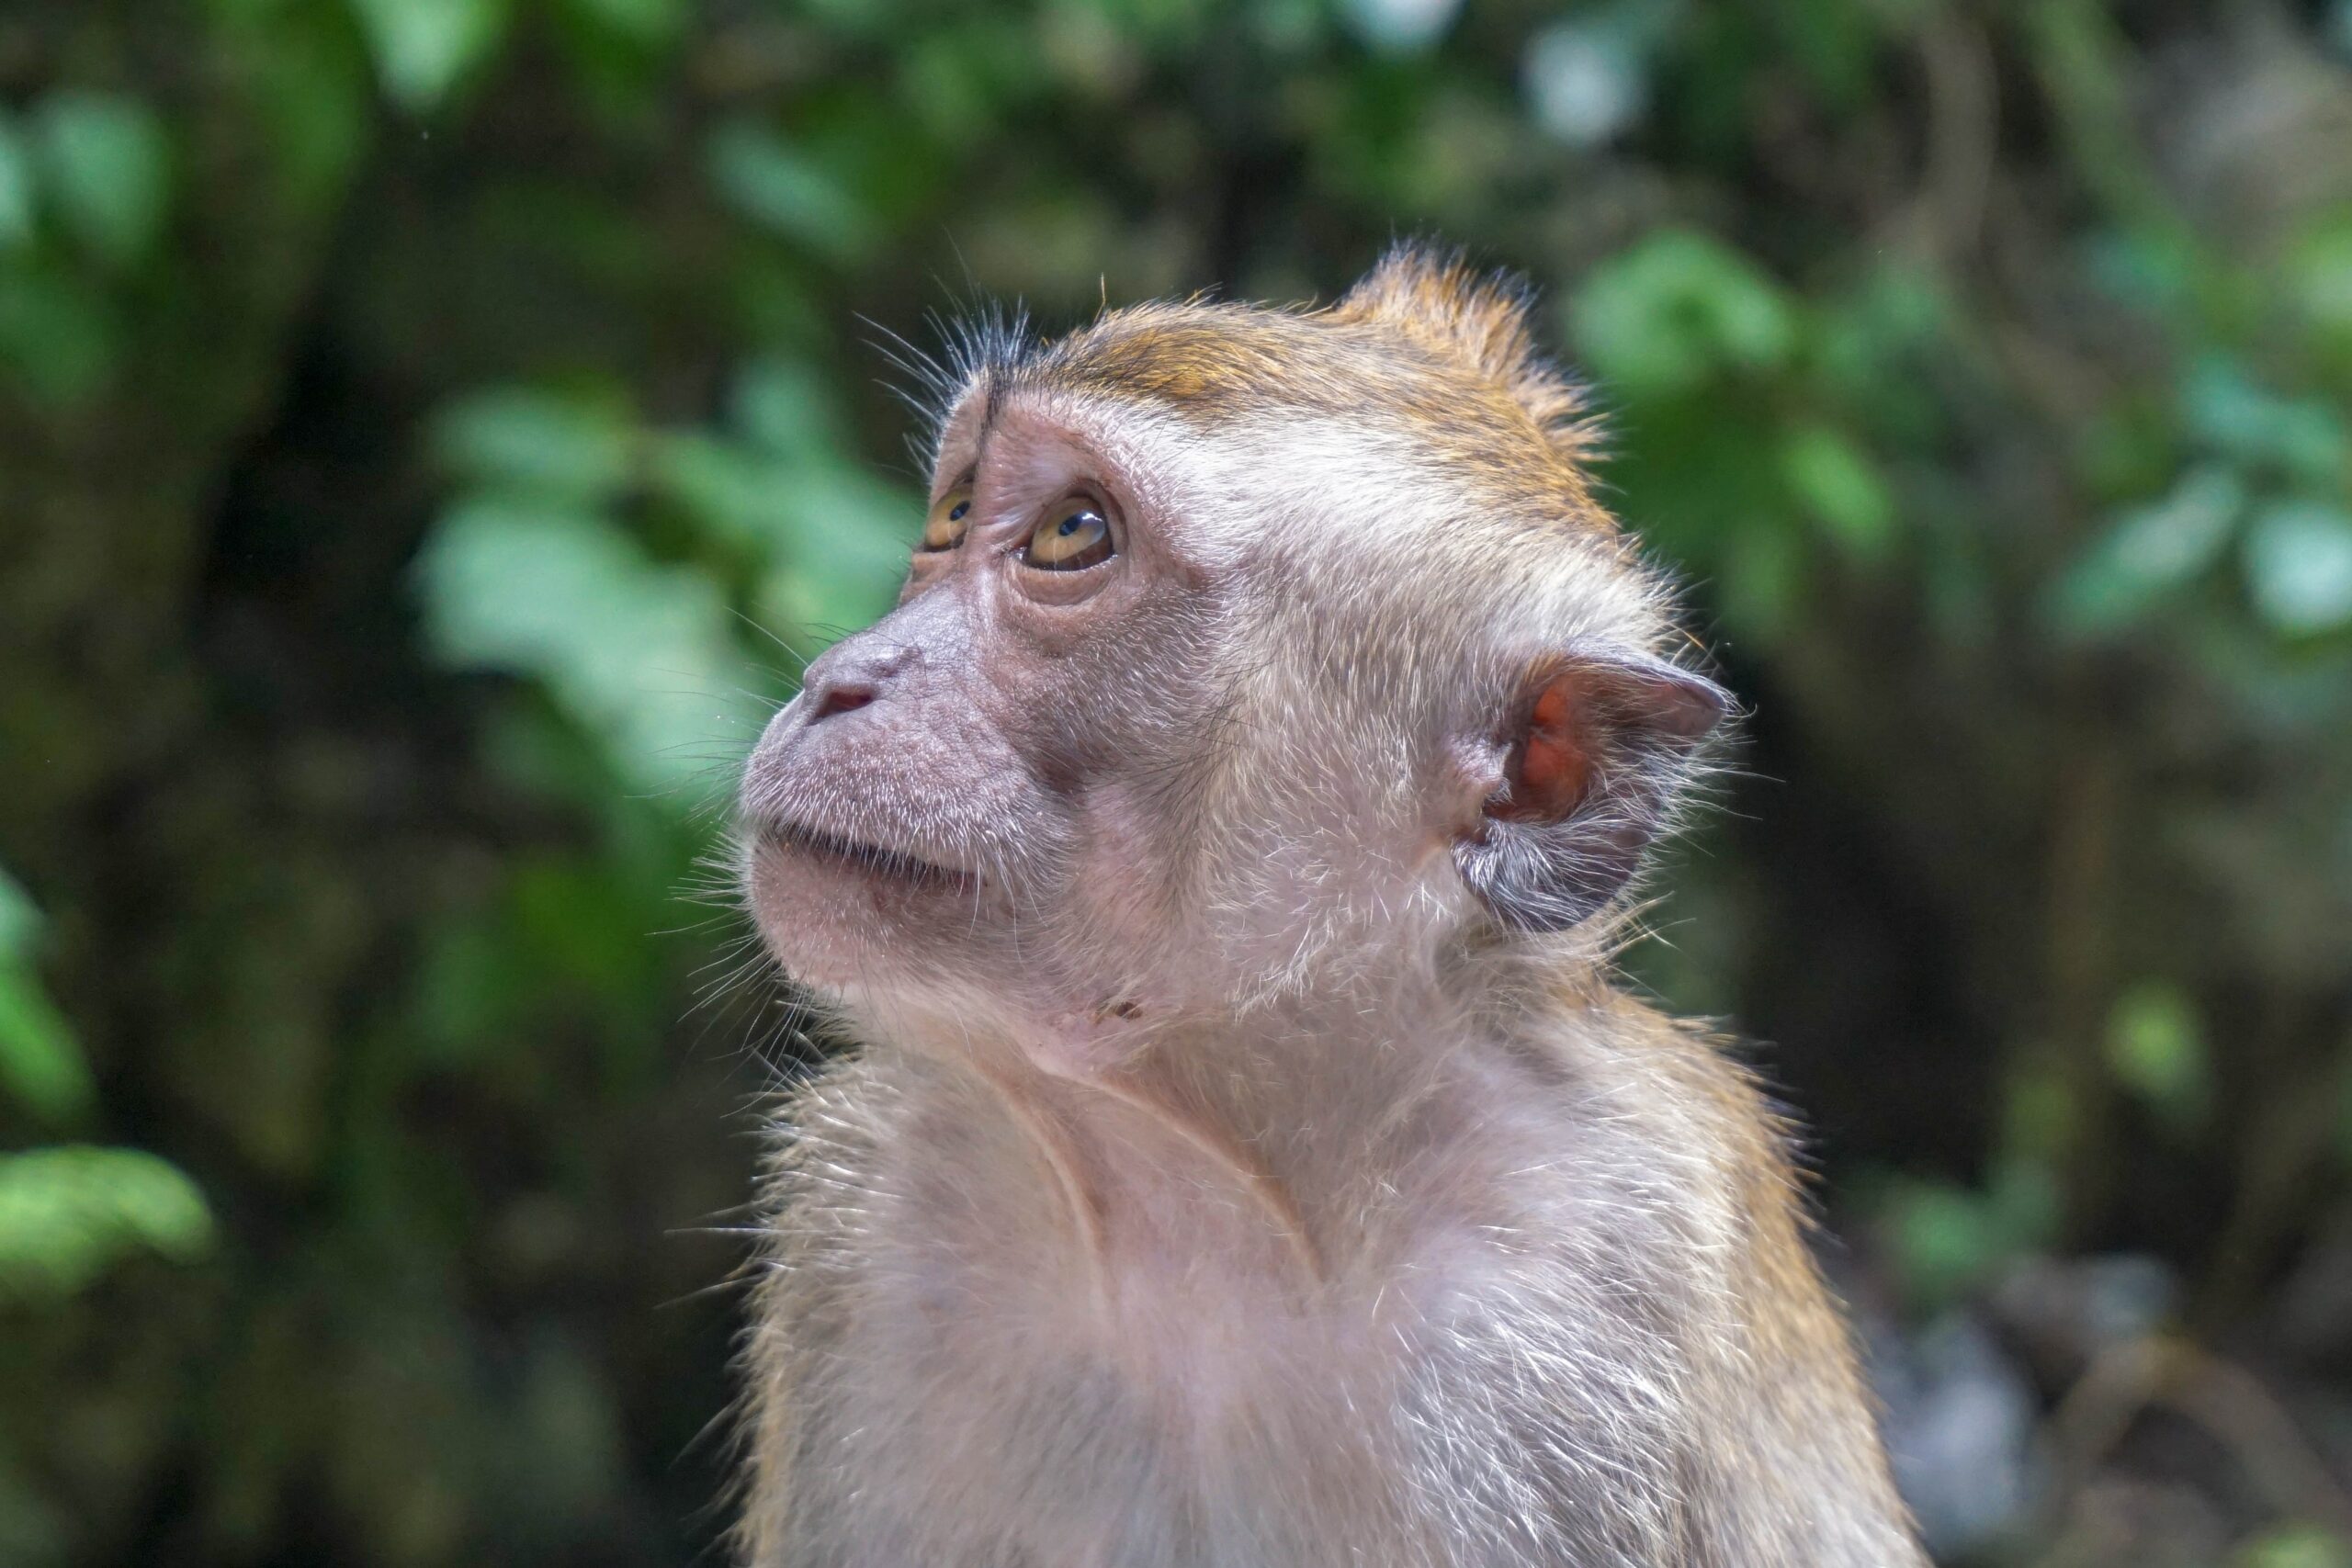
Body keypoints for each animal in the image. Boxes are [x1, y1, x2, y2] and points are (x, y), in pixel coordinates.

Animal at [733, 247, 1928, 1568]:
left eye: (1070, 533)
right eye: (951, 515)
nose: (836, 680)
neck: (1210, 1180)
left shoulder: (1581, 1316)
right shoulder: (864, 1238)